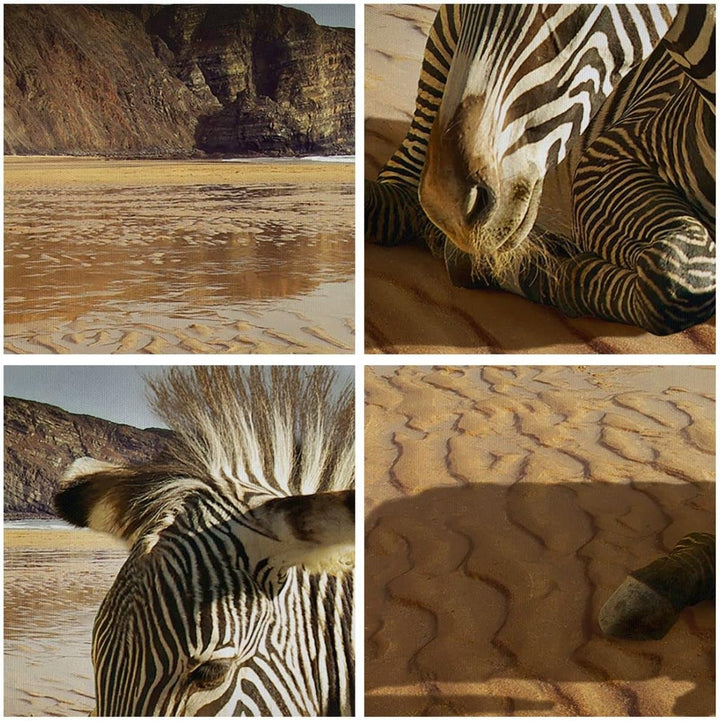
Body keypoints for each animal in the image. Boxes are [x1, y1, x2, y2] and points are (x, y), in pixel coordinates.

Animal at [365, 5, 715, 335]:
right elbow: (675, 280)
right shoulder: (607, 156)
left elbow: (680, 278)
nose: (447, 203)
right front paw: (534, 270)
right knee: (399, 197)